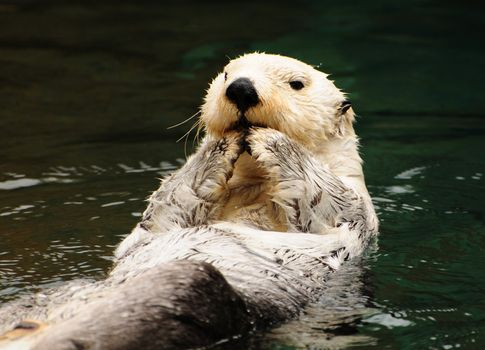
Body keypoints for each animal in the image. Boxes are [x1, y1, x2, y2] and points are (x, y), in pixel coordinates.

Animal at [0, 52, 378, 350]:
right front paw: (219, 146)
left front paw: (272, 141)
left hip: (189, 294)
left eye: (297, 84)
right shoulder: (160, 222)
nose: (241, 87)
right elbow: (168, 204)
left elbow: (327, 199)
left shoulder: (354, 209)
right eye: (226, 73)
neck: (254, 188)